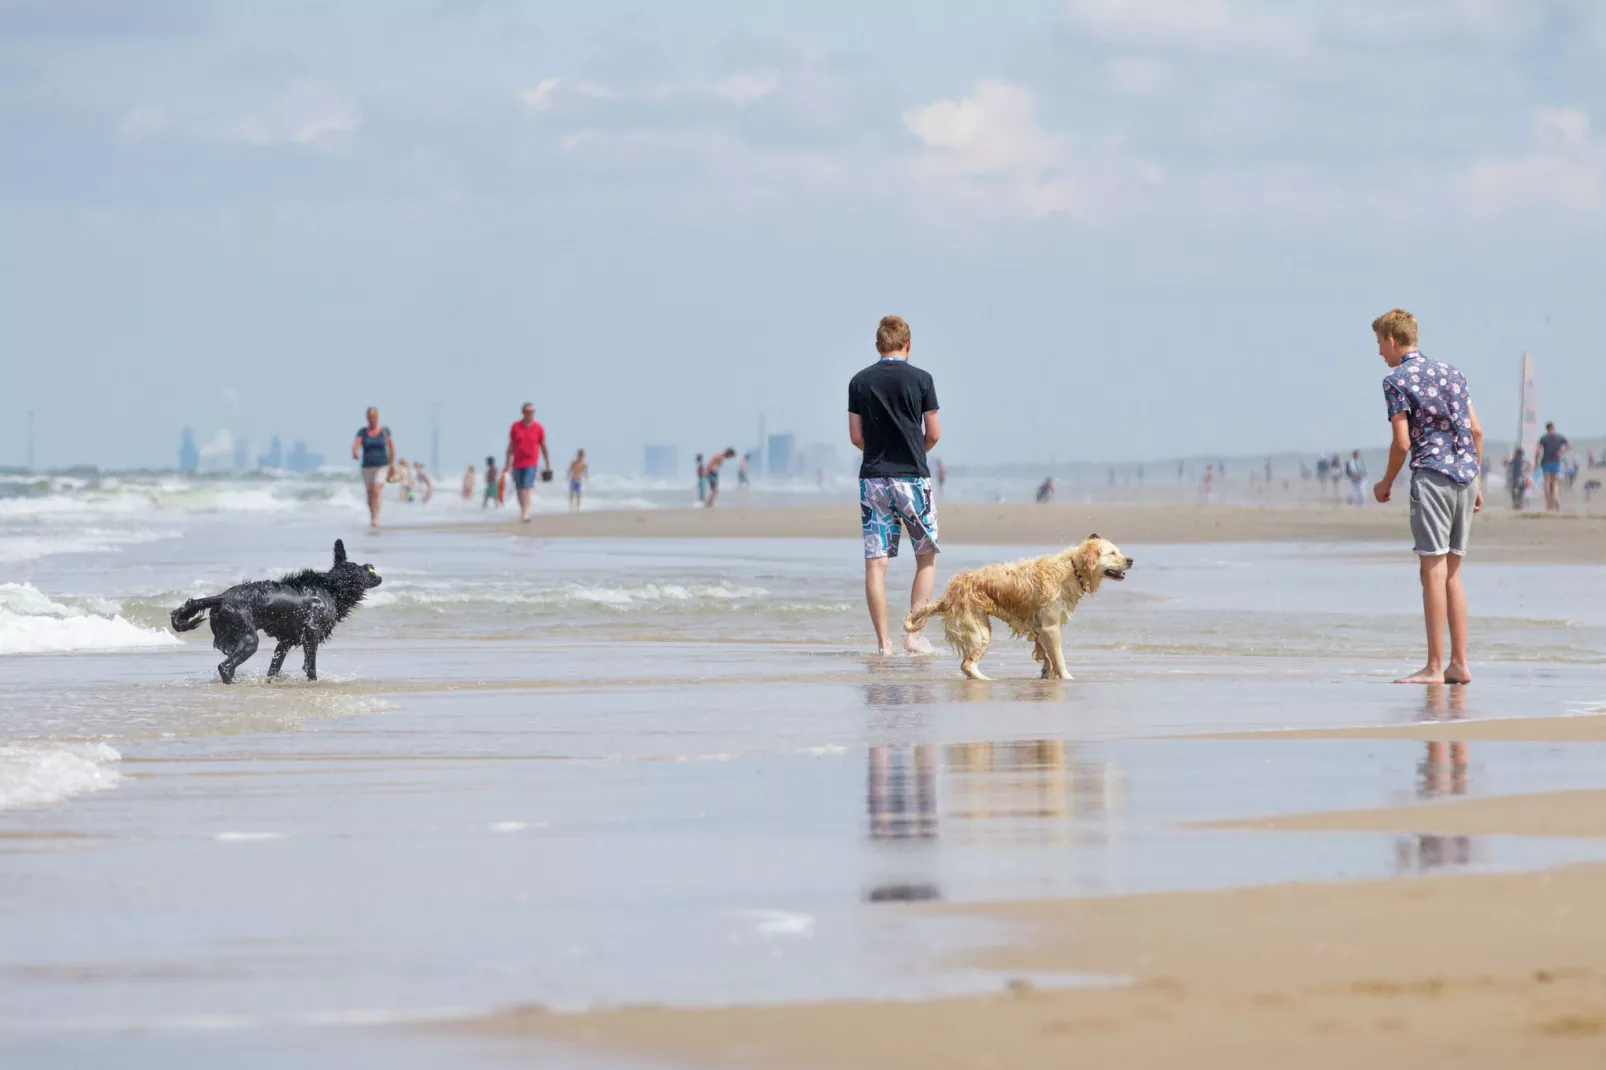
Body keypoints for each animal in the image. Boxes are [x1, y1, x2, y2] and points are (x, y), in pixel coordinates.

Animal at [169, 536, 382, 677]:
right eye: (367, 570)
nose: (376, 571)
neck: (331, 587)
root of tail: (221, 597)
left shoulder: (287, 640)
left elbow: (275, 666)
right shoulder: (311, 632)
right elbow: (310, 667)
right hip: (248, 639)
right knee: (225, 667)